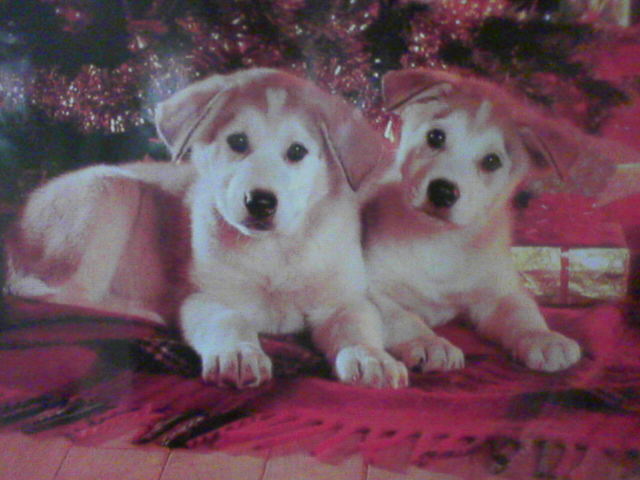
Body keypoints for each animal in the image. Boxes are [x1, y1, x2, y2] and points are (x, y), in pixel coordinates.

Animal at [5, 68, 408, 389]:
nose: (260, 202)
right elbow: (229, 320)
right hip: (109, 191)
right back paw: (146, 311)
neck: (273, 252)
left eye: (297, 152)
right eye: (238, 142)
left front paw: (372, 358)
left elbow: (358, 327)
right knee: (66, 296)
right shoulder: (205, 297)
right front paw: (240, 354)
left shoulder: (342, 300)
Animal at [363, 68, 624, 373]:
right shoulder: (371, 290)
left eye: (491, 161)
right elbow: (403, 319)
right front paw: (430, 343)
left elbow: (523, 313)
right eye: (435, 137)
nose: (442, 191)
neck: (437, 242)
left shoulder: (499, 292)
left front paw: (544, 338)